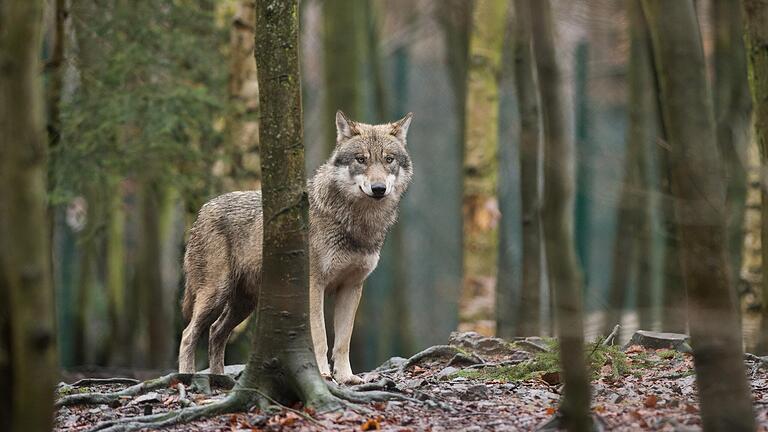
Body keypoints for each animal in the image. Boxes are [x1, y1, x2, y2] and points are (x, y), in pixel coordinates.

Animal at [178, 111, 414, 384]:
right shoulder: (314, 285)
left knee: (216, 332)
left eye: (388, 159)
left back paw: (220, 379)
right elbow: (320, 337)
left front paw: (346, 377)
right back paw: (186, 377)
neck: (356, 223)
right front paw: (322, 374)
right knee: (188, 334)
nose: (378, 189)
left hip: (244, 304)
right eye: (361, 159)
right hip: (216, 294)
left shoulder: (352, 287)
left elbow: (343, 341)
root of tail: (203, 210)